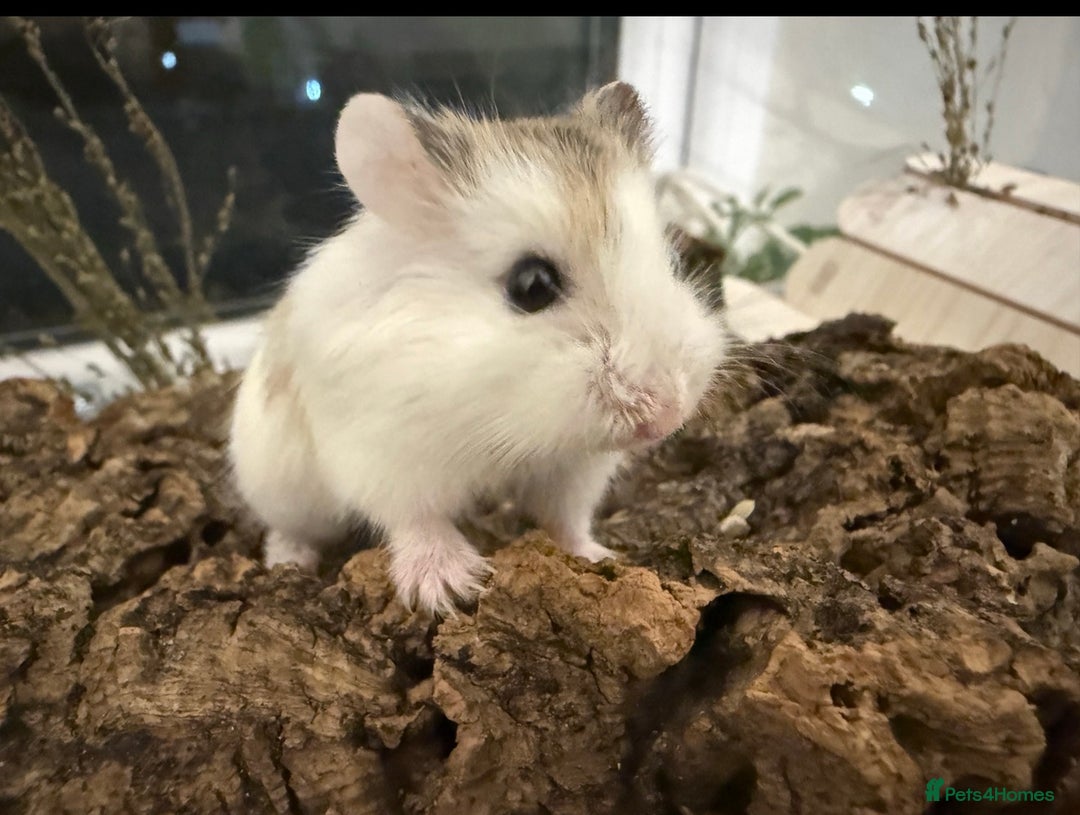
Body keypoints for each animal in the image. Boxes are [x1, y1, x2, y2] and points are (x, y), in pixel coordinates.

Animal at [228, 82, 727, 615]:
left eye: (671, 260)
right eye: (532, 286)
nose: (668, 416)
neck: (503, 417)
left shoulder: (574, 469)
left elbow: (565, 519)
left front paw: (599, 556)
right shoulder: (388, 455)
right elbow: (417, 519)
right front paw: (451, 588)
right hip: (279, 488)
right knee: (289, 529)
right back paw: (290, 560)